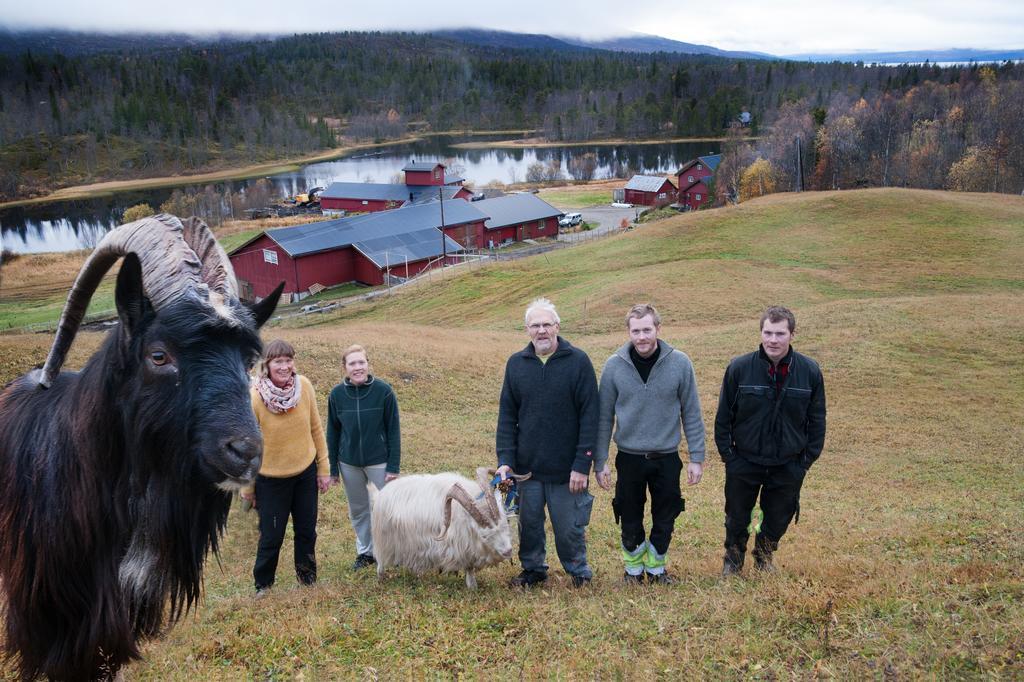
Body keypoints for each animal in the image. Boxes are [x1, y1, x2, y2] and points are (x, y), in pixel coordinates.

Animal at [368, 464, 528, 585]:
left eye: (504, 525)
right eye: (484, 536)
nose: (508, 551)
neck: (462, 515)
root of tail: (380, 494)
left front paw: (472, 586)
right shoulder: (461, 545)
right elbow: (468, 567)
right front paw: (472, 586)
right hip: (384, 540)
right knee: (380, 561)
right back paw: (381, 579)